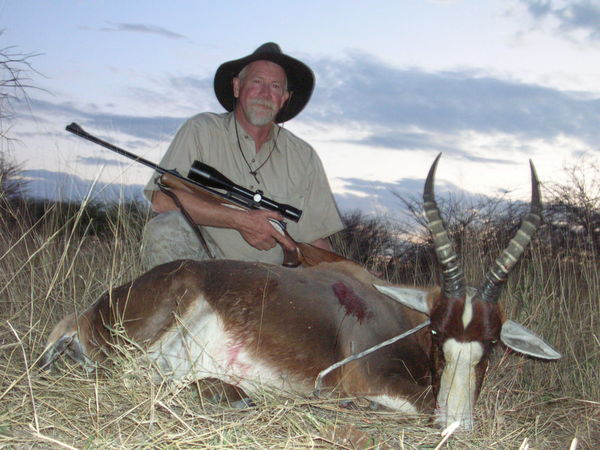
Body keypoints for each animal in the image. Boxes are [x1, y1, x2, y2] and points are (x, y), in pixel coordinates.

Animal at [40, 154, 560, 430]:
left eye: (491, 342)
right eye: (436, 332)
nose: (455, 423)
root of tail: (92, 311)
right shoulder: (372, 380)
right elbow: (411, 404)